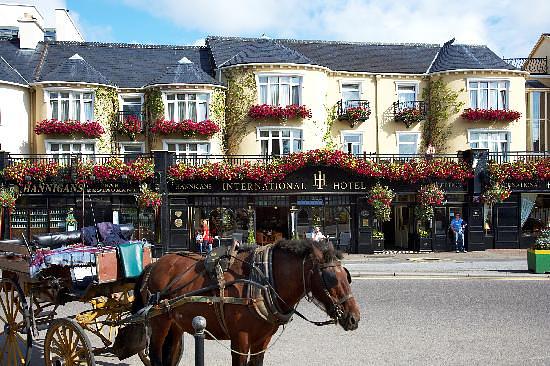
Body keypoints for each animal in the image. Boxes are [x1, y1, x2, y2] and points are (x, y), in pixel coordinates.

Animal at [133, 239, 362, 364]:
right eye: (331, 278)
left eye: (347, 276)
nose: (354, 318)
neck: (263, 280)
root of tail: (153, 265)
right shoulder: (240, 339)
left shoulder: (263, 339)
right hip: (159, 321)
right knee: (155, 355)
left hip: (175, 323)